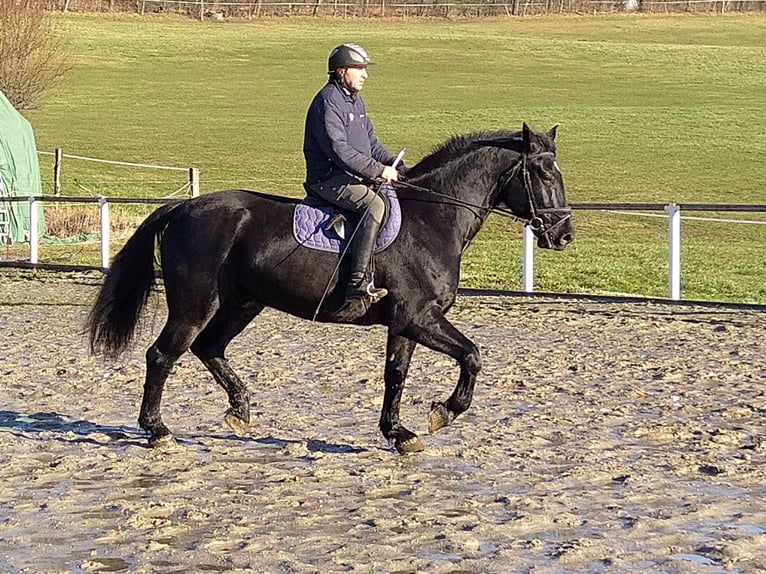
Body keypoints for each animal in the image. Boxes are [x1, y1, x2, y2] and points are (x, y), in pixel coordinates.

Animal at [87, 125, 572, 454]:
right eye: (543, 173)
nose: (563, 235)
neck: (431, 220)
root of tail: (184, 207)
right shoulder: (420, 317)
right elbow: (472, 355)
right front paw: (443, 413)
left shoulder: (405, 322)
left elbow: (395, 375)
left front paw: (399, 433)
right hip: (195, 305)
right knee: (162, 355)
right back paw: (158, 430)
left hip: (242, 304)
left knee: (209, 348)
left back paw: (240, 411)